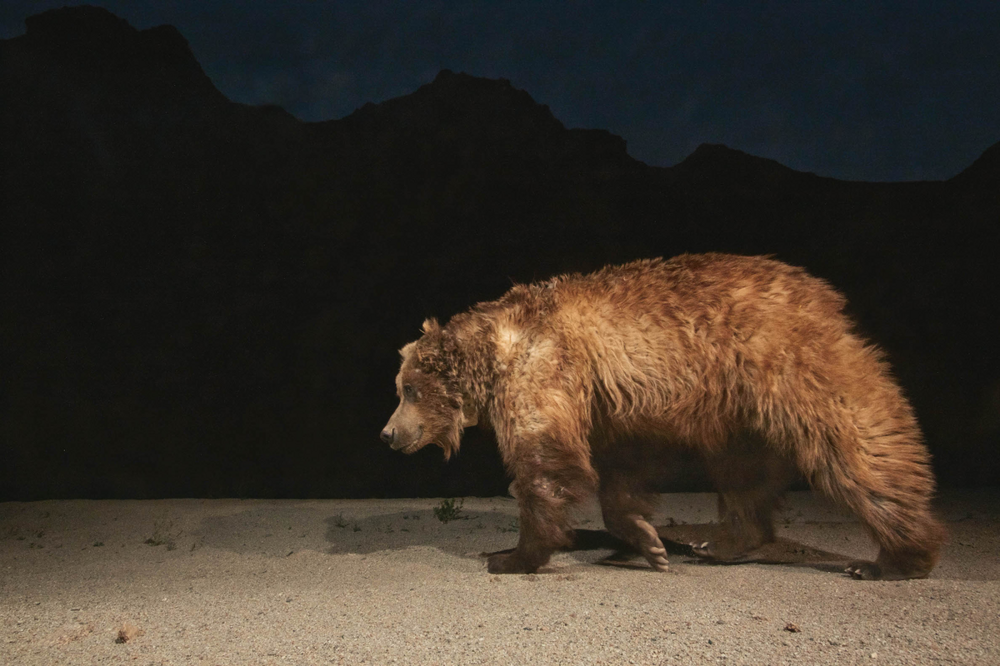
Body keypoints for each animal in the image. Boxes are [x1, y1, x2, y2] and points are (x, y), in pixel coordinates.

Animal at [380, 253, 944, 576]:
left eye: (408, 389)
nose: (387, 433)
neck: (494, 352)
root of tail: (823, 295)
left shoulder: (545, 368)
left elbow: (545, 464)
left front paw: (513, 555)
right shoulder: (614, 403)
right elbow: (623, 472)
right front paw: (648, 543)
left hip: (787, 361)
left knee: (858, 446)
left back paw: (896, 556)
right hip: (742, 411)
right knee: (743, 473)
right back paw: (722, 542)